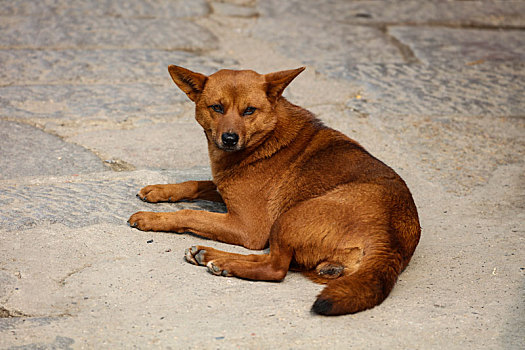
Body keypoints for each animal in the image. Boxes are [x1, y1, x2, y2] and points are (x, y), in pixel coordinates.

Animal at [129, 65, 420, 314]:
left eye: (249, 110)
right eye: (217, 108)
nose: (230, 139)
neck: (265, 137)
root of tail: (391, 242)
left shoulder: (248, 228)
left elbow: (190, 214)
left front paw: (151, 218)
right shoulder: (224, 188)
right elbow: (196, 184)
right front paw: (159, 190)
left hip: (288, 218)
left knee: (276, 268)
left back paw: (225, 263)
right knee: (274, 261)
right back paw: (209, 255)